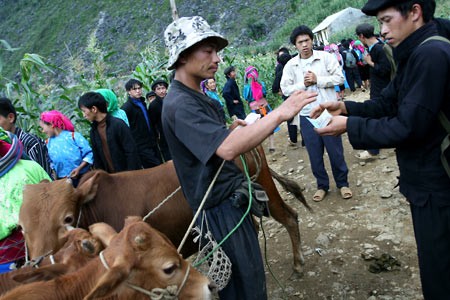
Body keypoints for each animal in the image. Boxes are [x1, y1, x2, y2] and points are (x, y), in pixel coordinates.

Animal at [19, 145, 312, 274]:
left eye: (67, 218)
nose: (39, 263)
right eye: (21, 227)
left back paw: (298, 263)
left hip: (266, 191)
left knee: (289, 217)